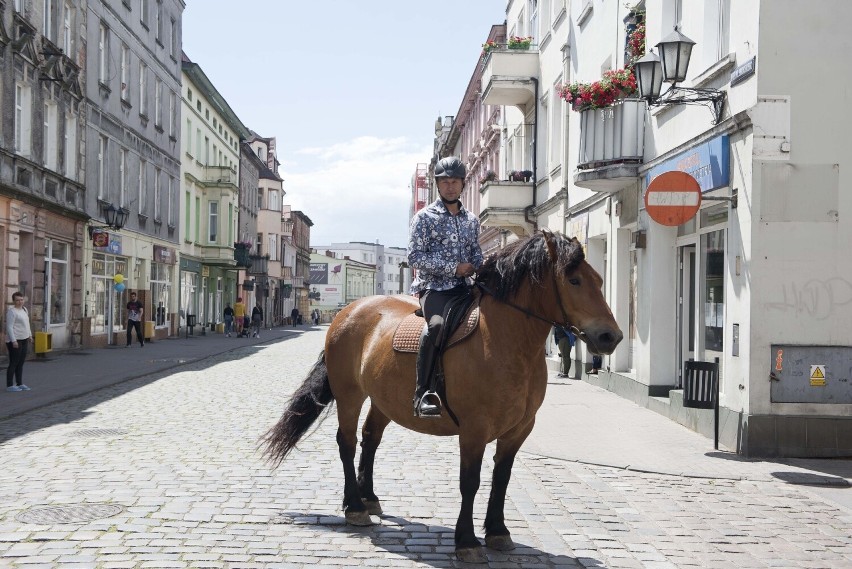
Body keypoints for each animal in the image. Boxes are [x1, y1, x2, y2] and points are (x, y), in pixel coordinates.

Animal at [262, 229, 624, 560]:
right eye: (574, 280)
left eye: (599, 280)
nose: (611, 336)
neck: (505, 340)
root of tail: (346, 313)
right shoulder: (474, 429)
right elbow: (471, 481)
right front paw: (466, 541)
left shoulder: (519, 430)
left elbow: (502, 478)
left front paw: (498, 531)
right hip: (349, 394)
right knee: (347, 443)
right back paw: (355, 507)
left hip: (384, 400)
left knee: (370, 438)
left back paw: (369, 497)